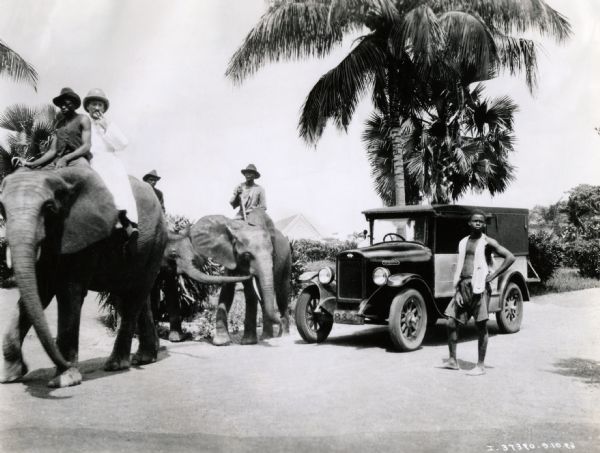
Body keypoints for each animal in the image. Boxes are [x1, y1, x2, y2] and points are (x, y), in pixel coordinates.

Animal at [0, 168, 246, 386]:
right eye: (2, 209)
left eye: (49, 208)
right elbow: (39, 292)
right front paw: (11, 377)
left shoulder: (85, 236)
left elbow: (70, 291)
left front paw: (64, 379)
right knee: (132, 294)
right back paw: (144, 358)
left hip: (152, 244)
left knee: (135, 296)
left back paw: (118, 364)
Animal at [164, 209, 292, 346]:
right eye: (247, 255)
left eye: (273, 254)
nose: (279, 323)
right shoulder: (228, 256)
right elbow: (227, 290)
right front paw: (221, 342)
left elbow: (250, 293)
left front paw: (247, 342)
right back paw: (267, 336)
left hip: (287, 258)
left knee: (281, 293)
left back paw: (283, 334)